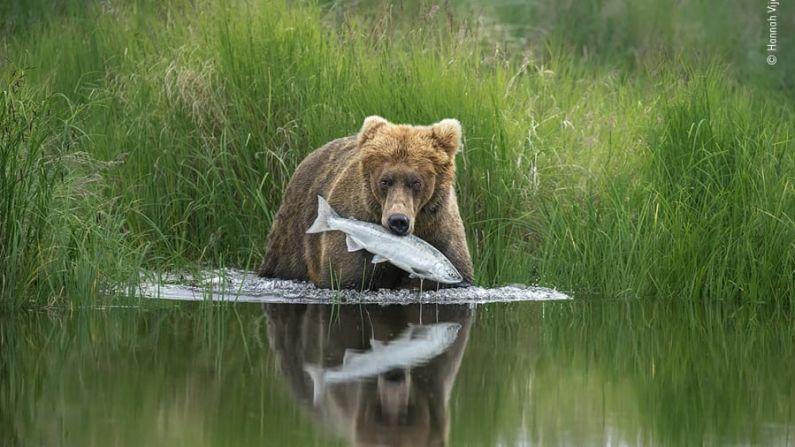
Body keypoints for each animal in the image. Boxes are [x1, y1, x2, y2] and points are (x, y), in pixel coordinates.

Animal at [262, 115, 472, 290]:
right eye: (385, 181)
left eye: (416, 182)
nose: (398, 220)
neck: (419, 225)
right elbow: (347, 277)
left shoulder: (440, 230)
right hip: (293, 231)